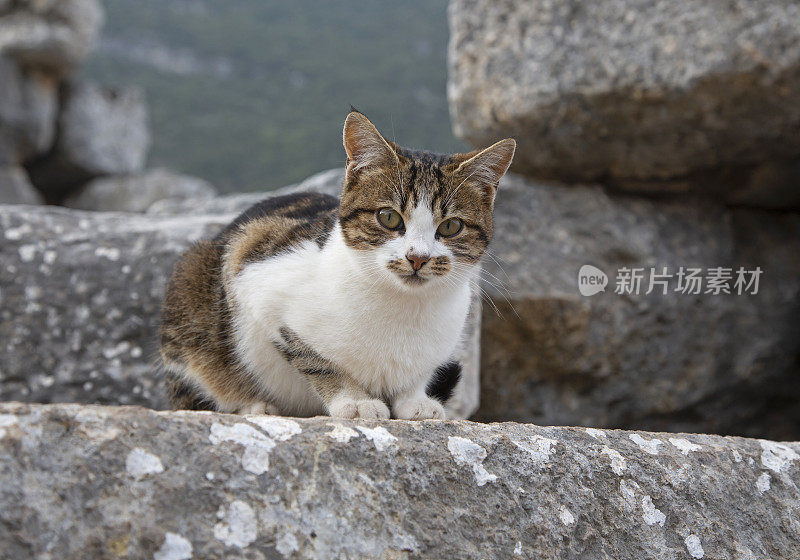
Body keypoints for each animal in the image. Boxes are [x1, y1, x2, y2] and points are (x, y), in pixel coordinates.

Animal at [159, 107, 516, 418]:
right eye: (388, 217)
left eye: (451, 226)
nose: (417, 257)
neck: (402, 308)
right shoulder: (253, 277)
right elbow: (314, 356)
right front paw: (356, 399)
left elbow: (418, 374)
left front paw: (415, 399)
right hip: (191, 285)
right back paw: (252, 405)